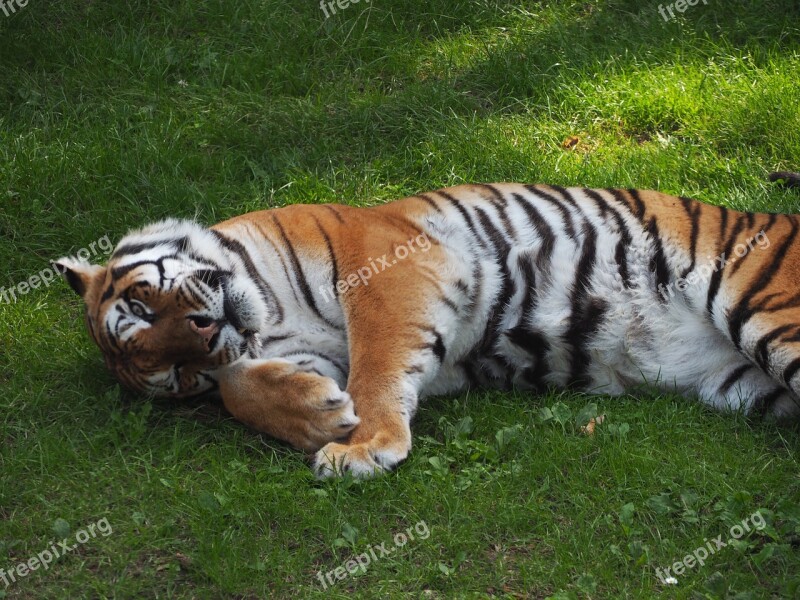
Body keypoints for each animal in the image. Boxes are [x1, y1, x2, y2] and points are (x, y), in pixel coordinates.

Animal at [54, 173, 800, 478]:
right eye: (178, 375)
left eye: (144, 302)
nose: (206, 337)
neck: (271, 313)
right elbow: (244, 386)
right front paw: (321, 417)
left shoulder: (387, 271)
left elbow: (378, 365)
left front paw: (362, 445)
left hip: (768, 314)